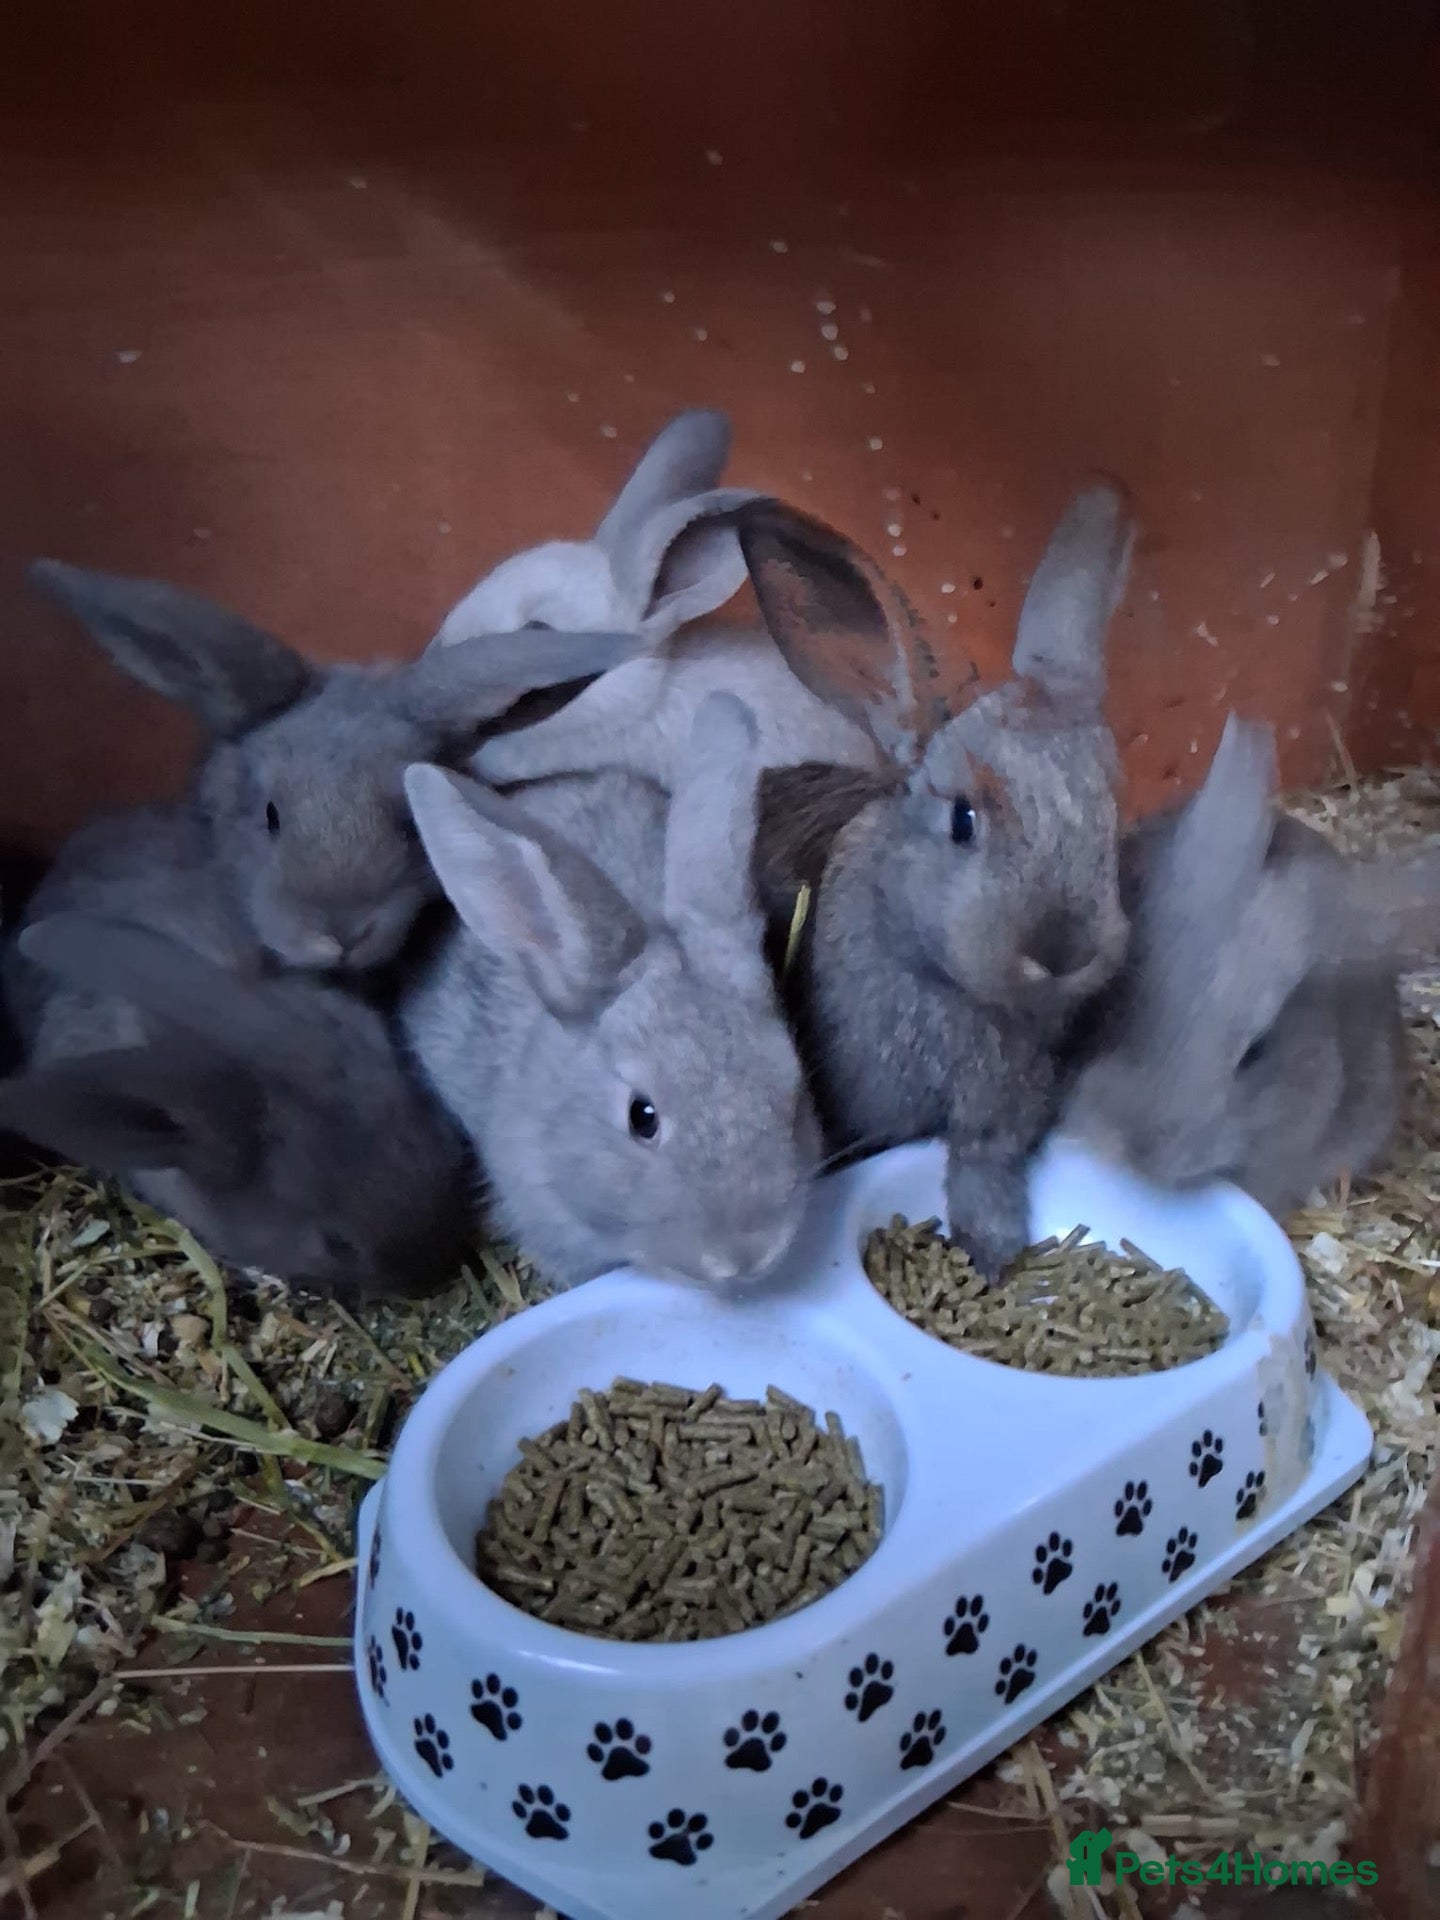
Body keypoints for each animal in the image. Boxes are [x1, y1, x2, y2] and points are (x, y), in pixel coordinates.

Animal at [740, 483, 1135, 1277]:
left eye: (1109, 812)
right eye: (962, 819)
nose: (1063, 951)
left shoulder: (1002, 1114)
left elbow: (985, 1161)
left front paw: (990, 1246)